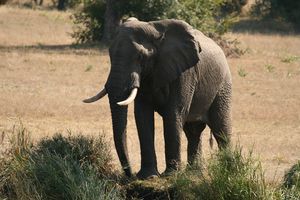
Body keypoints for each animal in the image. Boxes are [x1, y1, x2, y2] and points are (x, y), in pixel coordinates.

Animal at [83, 18, 233, 179]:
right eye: (110, 54)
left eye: (140, 57)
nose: (131, 175)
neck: (154, 30)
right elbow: (142, 115)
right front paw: (147, 176)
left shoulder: (185, 73)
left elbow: (174, 113)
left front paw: (170, 175)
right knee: (193, 131)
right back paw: (194, 174)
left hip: (223, 86)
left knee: (221, 128)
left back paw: (228, 171)